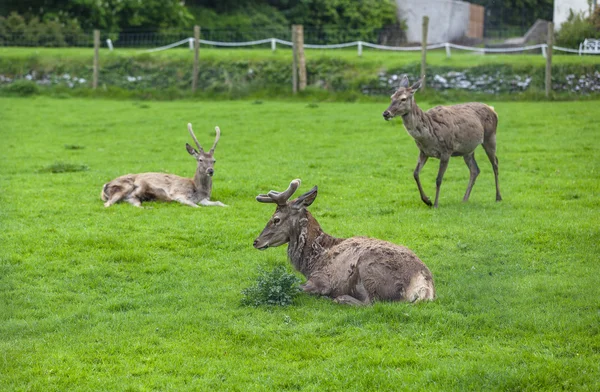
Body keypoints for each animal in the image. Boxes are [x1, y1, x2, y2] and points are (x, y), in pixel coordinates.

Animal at [253, 179, 436, 304]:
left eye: (276, 219)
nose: (256, 241)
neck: (311, 262)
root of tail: (424, 286)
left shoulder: (322, 279)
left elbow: (296, 287)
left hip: (370, 270)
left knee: (373, 303)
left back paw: (340, 298)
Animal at [384, 74, 502, 207]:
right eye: (391, 97)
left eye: (403, 99)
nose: (386, 113)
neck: (428, 135)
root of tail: (492, 109)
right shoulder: (423, 151)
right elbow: (415, 173)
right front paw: (427, 200)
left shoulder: (447, 150)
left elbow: (439, 179)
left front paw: (435, 204)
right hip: (468, 149)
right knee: (475, 170)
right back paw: (464, 199)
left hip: (490, 136)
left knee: (495, 163)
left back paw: (498, 197)